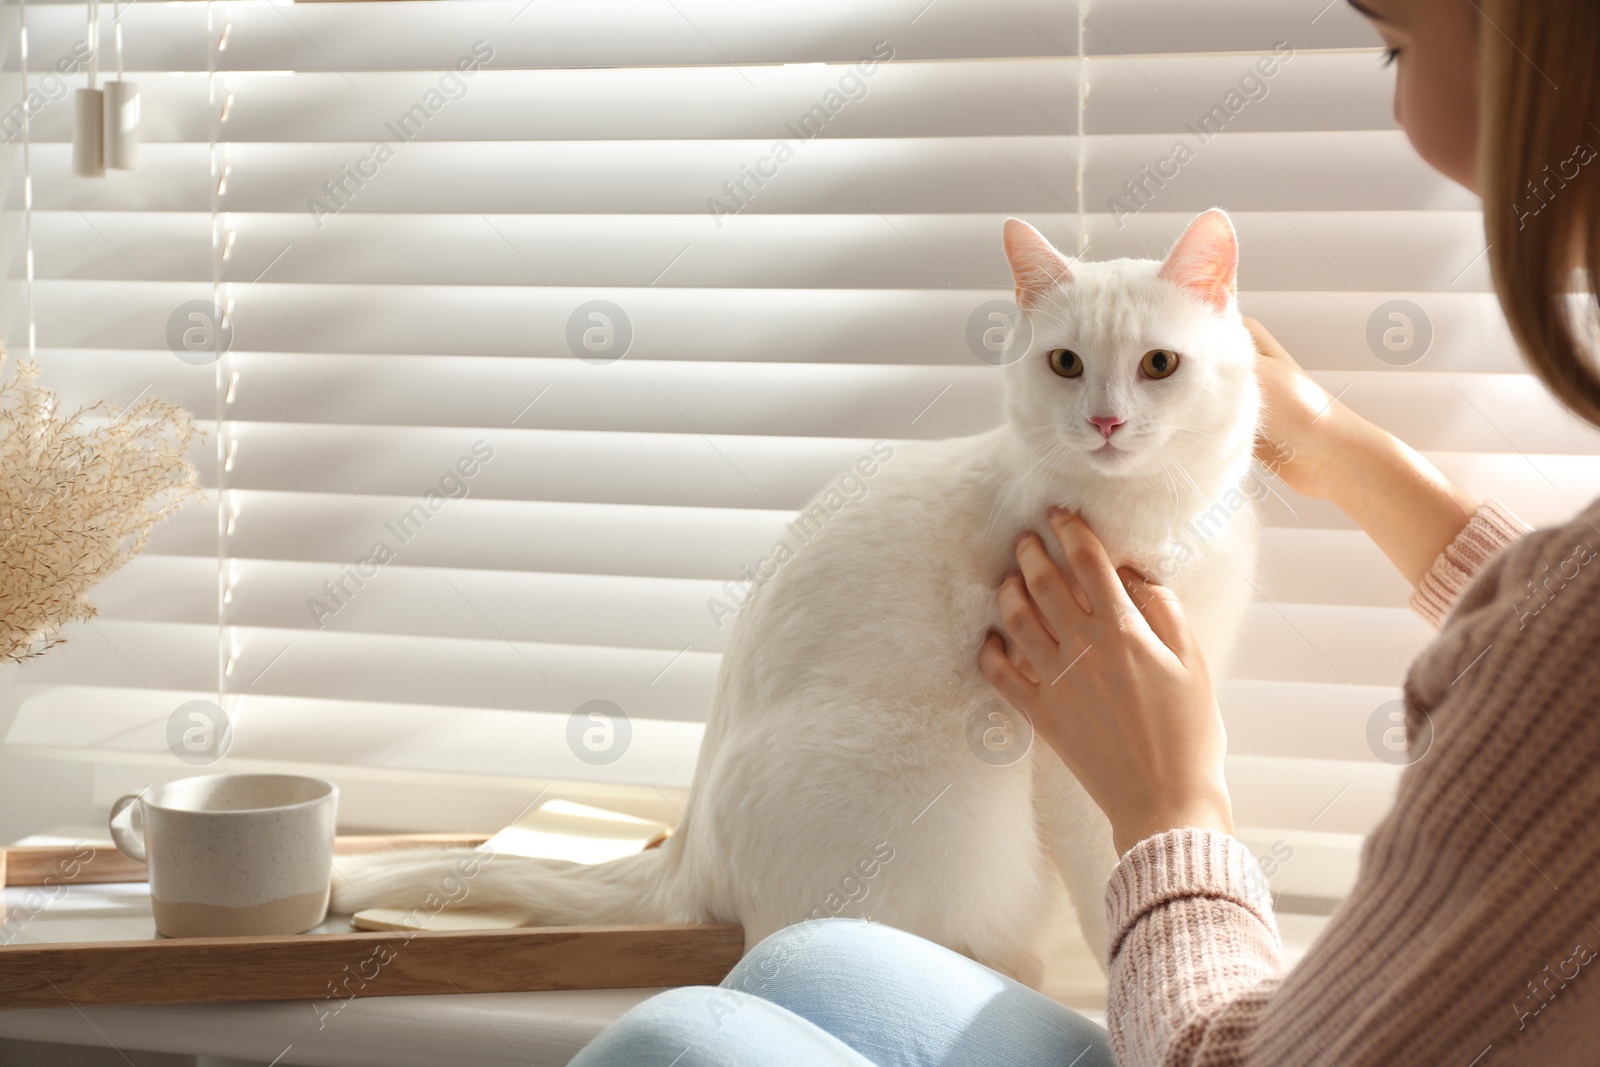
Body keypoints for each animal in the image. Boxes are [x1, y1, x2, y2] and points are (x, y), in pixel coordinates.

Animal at [334, 207, 1260, 985]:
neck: (1160, 518)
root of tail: (686, 859)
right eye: (1066, 363)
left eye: (1159, 364)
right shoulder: (1067, 766)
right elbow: (1112, 869)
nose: (1105, 421)